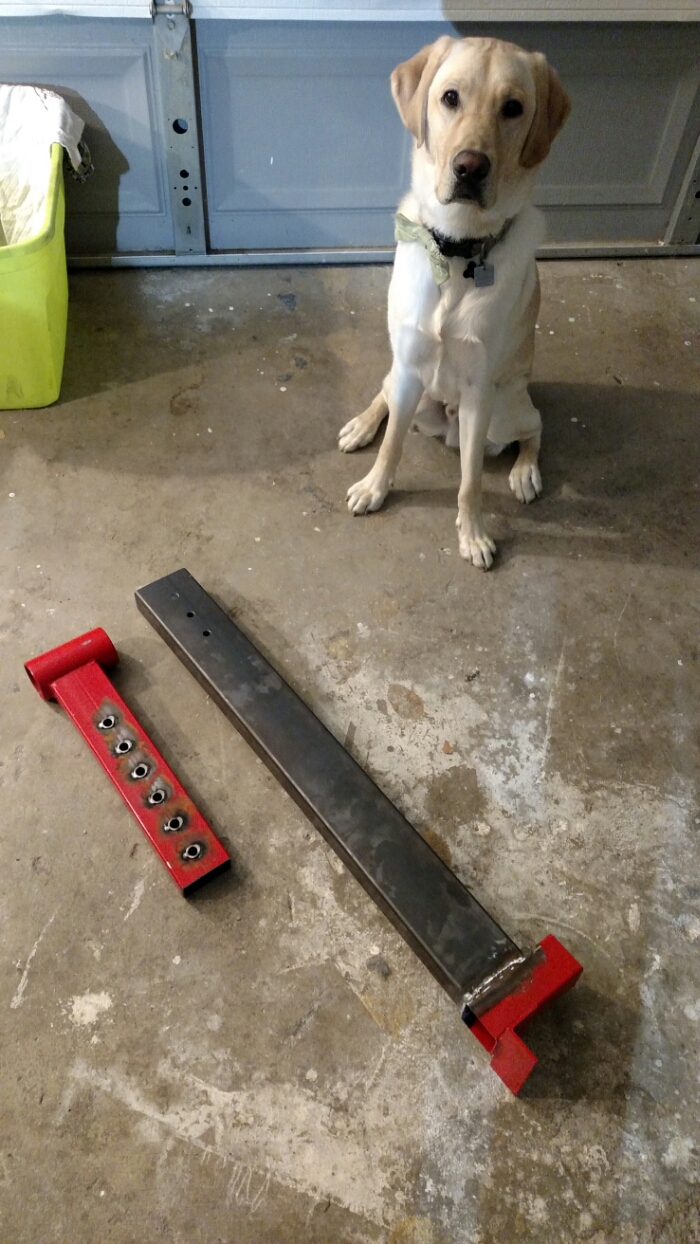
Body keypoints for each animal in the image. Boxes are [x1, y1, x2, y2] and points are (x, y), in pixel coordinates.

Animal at [338, 36, 570, 568]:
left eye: (513, 108)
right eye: (450, 98)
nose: (470, 166)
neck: (457, 249)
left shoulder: (479, 393)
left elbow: (470, 483)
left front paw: (473, 534)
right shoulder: (407, 367)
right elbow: (392, 446)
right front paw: (375, 487)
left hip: (505, 408)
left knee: (535, 428)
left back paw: (525, 472)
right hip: (412, 385)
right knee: (384, 395)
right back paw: (361, 425)